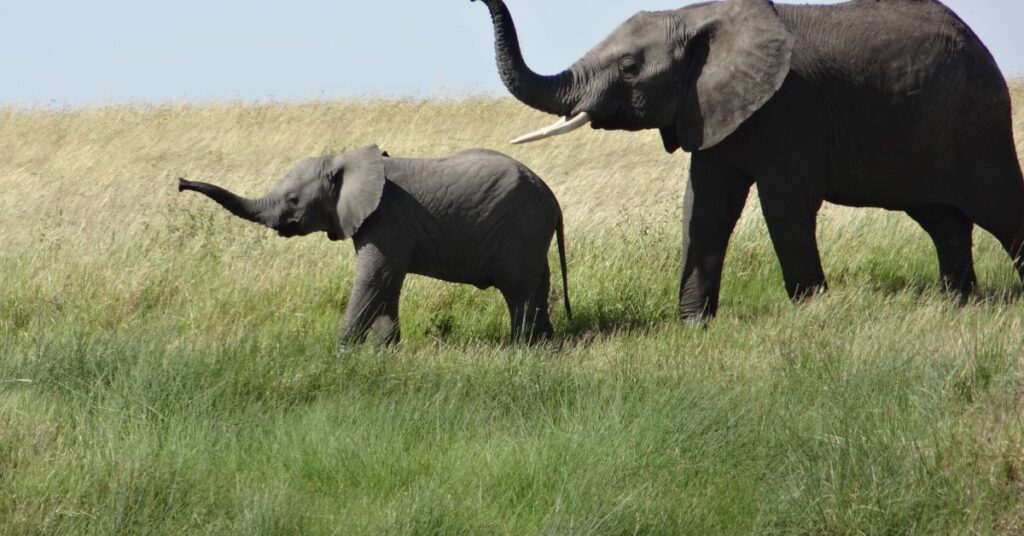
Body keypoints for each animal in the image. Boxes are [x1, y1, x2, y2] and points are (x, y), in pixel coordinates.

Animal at [180, 144, 573, 346]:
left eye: (293, 200)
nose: (181, 182)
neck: (347, 160)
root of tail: (552, 198)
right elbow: (387, 284)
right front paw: (385, 352)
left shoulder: (387, 218)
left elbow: (373, 279)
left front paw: (340, 355)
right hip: (532, 233)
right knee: (538, 284)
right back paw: (545, 345)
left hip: (522, 228)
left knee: (520, 290)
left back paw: (522, 348)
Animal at [471, 0, 1024, 321]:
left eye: (629, 68)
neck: (696, 17)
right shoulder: (710, 108)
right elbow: (704, 209)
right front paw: (693, 325)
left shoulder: (789, 107)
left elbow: (784, 206)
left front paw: (810, 315)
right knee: (942, 221)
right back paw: (957, 305)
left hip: (978, 121)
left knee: (999, 206)